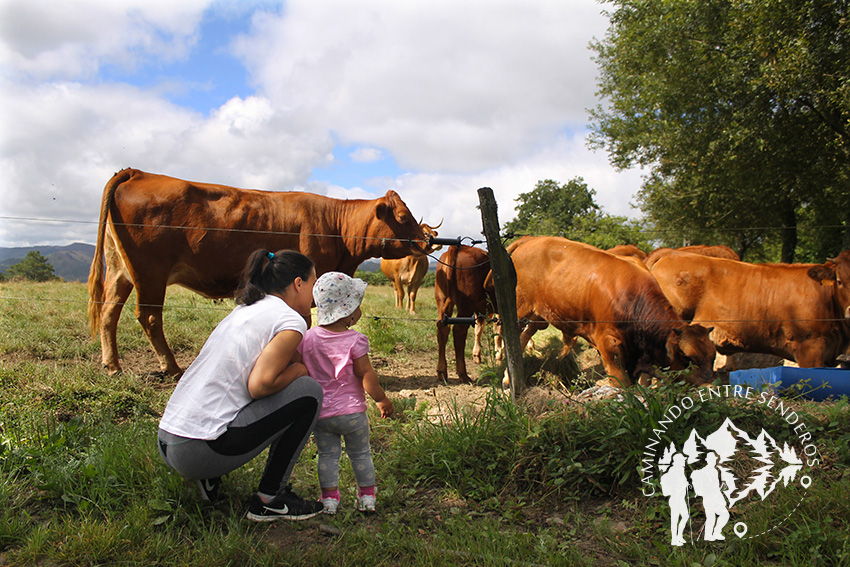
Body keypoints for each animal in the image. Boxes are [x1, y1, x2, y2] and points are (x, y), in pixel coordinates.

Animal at [89, 166, 428, 378]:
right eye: (402, 216)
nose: (428, 241)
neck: (336, 229)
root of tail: (138, 172)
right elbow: (304, 323)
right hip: (151, 273)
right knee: (148, 316)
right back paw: (171, 367)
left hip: (120, 270)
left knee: (108, 313)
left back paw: (112, 365)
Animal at [438, 246, 496, 384]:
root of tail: (460, 247)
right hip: (466, 306)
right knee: (459, 331)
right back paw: (463, 374)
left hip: (442, 299)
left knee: (443, 328)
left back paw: (442, 372)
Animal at [506, 237, 712, 388]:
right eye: (687, 356)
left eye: (713, 356)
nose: (711, 387)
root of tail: (531, 239)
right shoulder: (608, 344)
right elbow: (620, 384)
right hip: (518, 309)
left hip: (537, 316)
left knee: (522, 338)